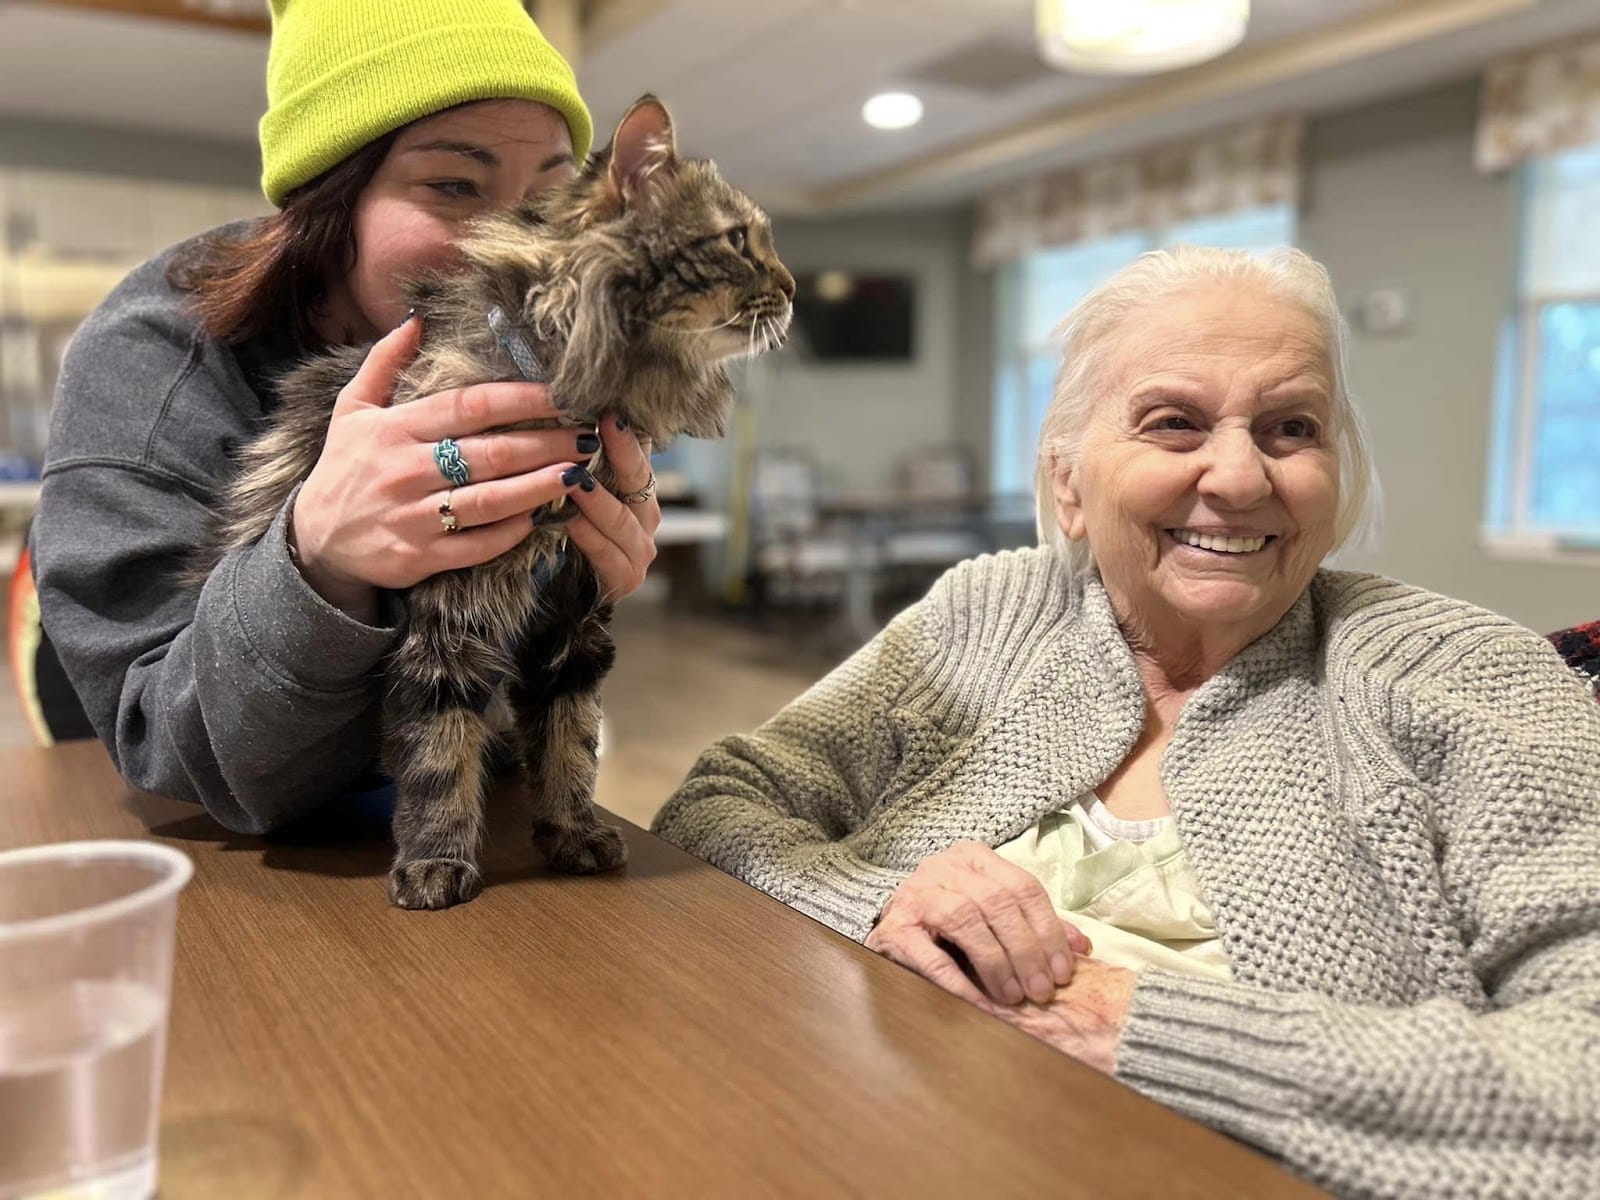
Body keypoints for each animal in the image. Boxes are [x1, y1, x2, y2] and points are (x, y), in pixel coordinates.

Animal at [206, 98, 793, 908]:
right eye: (738, 240)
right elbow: (438, 755)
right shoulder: (448, 621)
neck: (574, 396)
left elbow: (572, 745)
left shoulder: (577, 613)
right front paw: (436, 862)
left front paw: (573, 834)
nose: (795, 287)